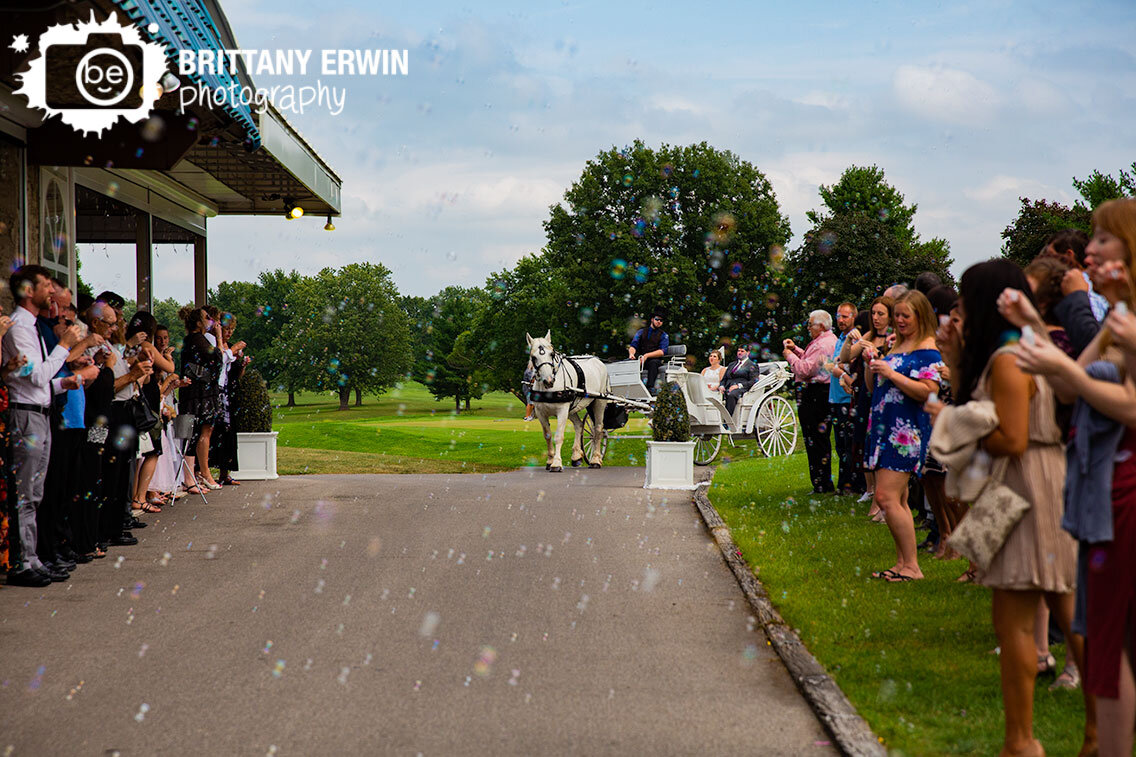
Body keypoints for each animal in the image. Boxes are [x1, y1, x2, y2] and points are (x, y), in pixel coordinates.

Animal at [524, 331, 608, 472]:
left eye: (552, 354)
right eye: (534, 357)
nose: (549, 381)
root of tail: (597, 360)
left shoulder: (562, 410)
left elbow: (559, 436)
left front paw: (556, 463)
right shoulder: (541, 413)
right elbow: (547, 435)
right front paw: (550, 460)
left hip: (599, 402)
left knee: (598, 429)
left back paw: (595, 459)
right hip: (572, 408)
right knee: (579, 425)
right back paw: (576, 456)